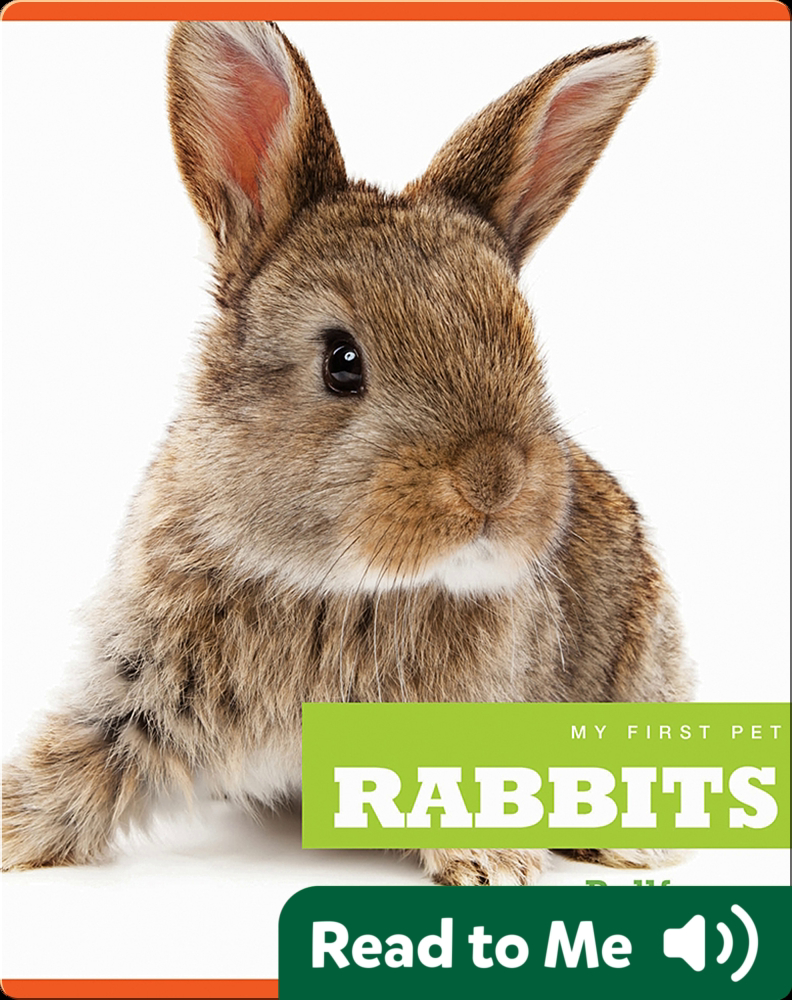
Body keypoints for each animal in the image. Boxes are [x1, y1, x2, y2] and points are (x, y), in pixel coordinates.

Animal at [2, 21, 693, 886]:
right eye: (341, 361)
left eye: (526, 343)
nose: (493, 481)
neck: (333, 583)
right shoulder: (133, 701)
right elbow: (70, 775)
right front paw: (12, 831)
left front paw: (494, 862)